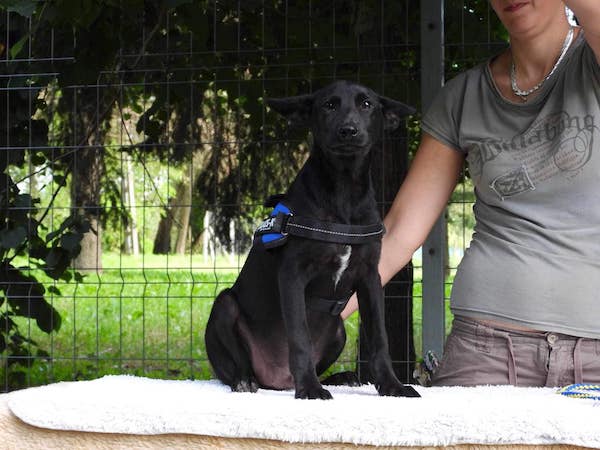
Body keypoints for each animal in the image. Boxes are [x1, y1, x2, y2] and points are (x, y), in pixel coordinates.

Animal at [205, 80, 420, 399]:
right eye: (329, 105)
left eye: (366, 104)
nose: (348, 130)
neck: (344, 190)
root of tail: (277, 380)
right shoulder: (292, 275)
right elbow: (299, 338)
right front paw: (308, 387)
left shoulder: (370, 277)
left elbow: (380, 339)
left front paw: (392, 386)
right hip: (224, 306)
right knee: (234, 364)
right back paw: (245, 380)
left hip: (338, 329)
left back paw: (343, 377)